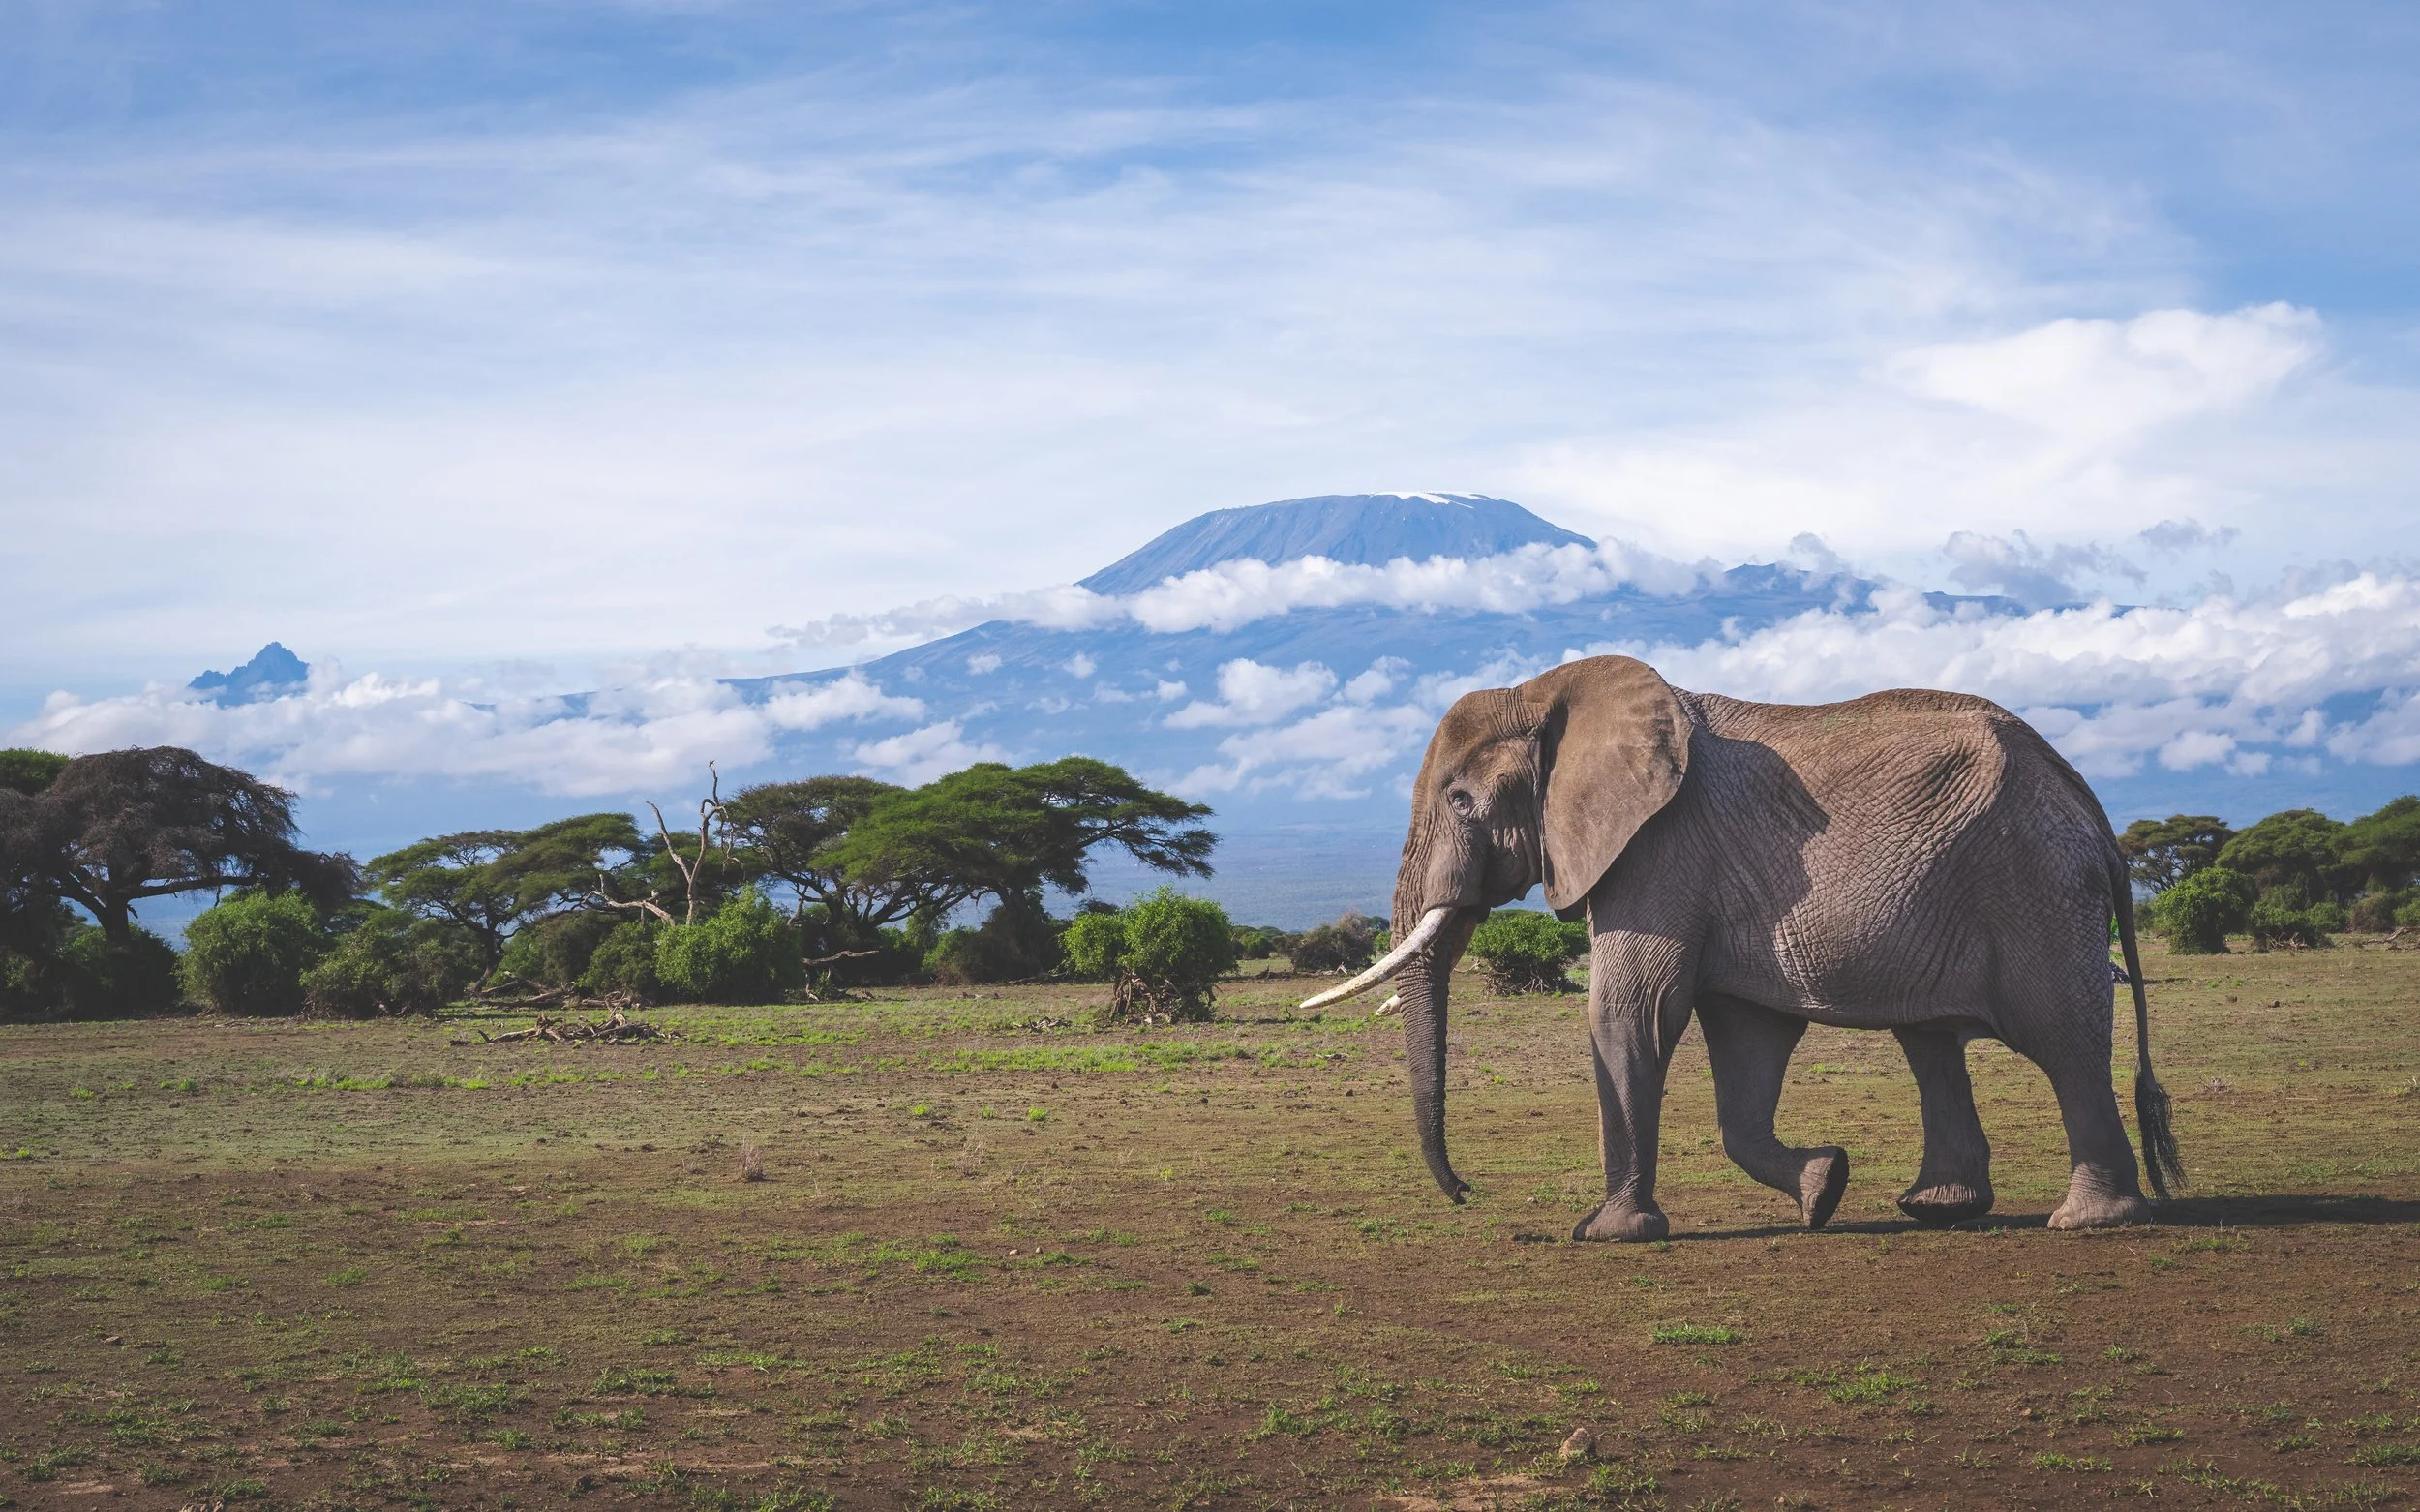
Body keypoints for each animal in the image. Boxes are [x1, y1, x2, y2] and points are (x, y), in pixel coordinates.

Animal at [1305, 655, 2181, 1240]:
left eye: (1460, 800)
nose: (1467, 1193)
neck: (1554, 691)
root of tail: (2092, 807)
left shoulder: (1660, 847)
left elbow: (1631, 1011)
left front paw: (1607, 1234)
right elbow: (1744, 1049)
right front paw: (1824, 1188)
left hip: (2034, 887)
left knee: (2062, 1039)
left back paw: (2090, 1221)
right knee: (1931, 1042)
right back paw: (1935, 1209)